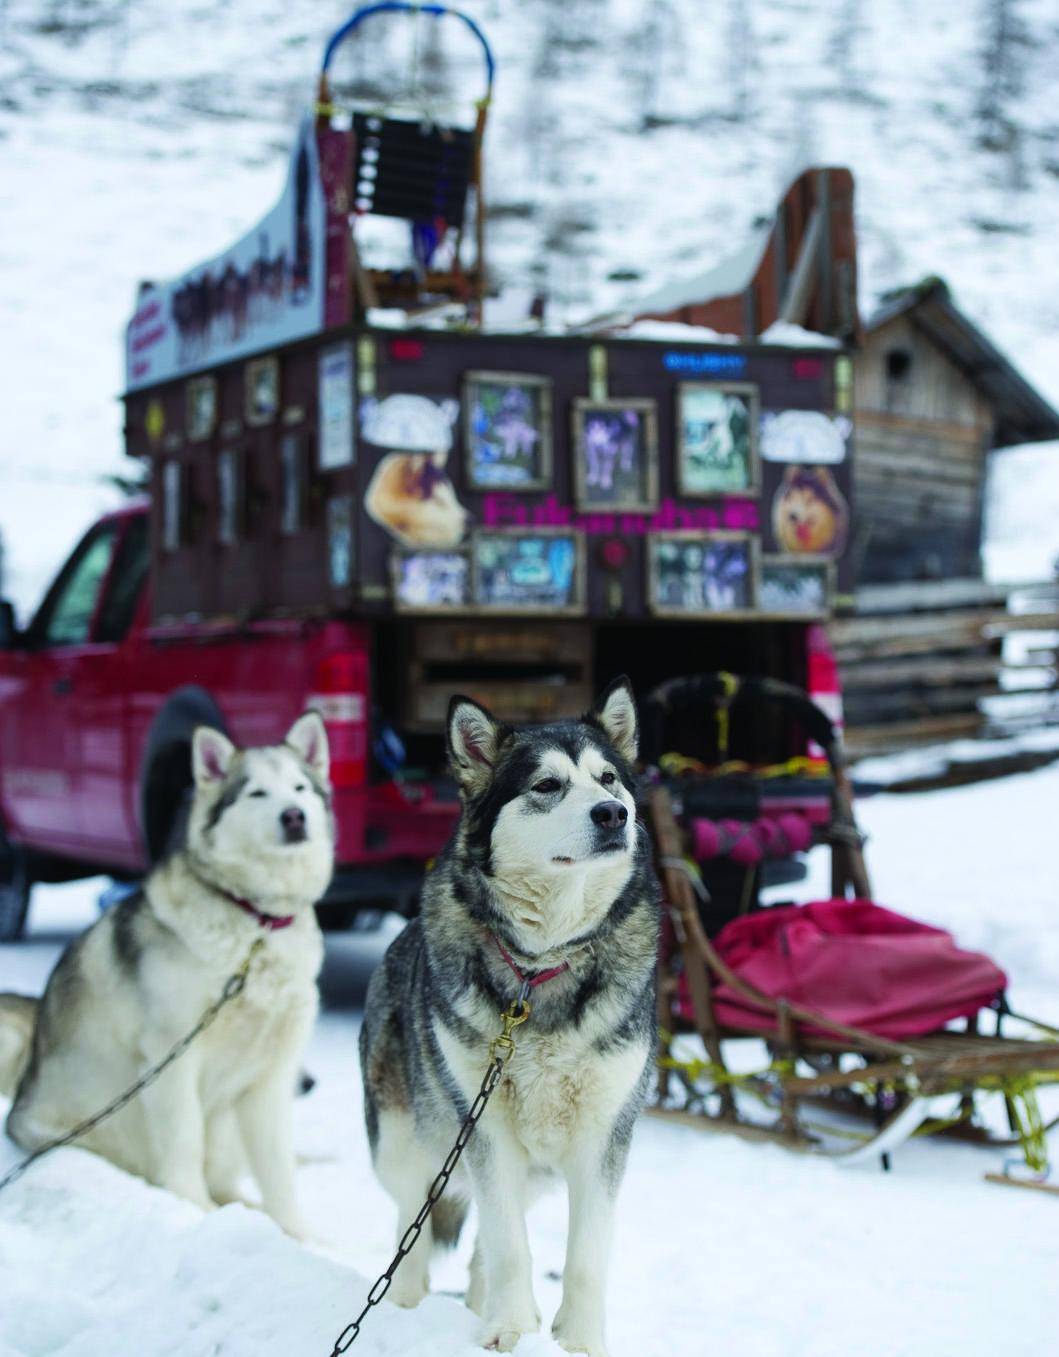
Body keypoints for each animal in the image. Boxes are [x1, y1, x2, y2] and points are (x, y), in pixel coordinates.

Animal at [0, 716, 331, 1237]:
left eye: (300, 788)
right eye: (256, 792)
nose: (295, 816)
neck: (255, 920)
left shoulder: (271, 1078)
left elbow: (278, 1169)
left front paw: (299, 1237)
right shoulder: (172, 1056)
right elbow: (183, 1140)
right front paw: (194, 1210)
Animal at [361, 678, 657, 1357]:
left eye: (609, 779)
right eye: (546, 785)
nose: (614, 814)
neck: (541, 967)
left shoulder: (604, 1134)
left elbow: (584, 1255)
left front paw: (579, 1341)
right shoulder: (485, 1131)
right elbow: (506, 1243)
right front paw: (511, 1330)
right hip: (404, 1142)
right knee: (413, 1224)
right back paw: (407, 1307)